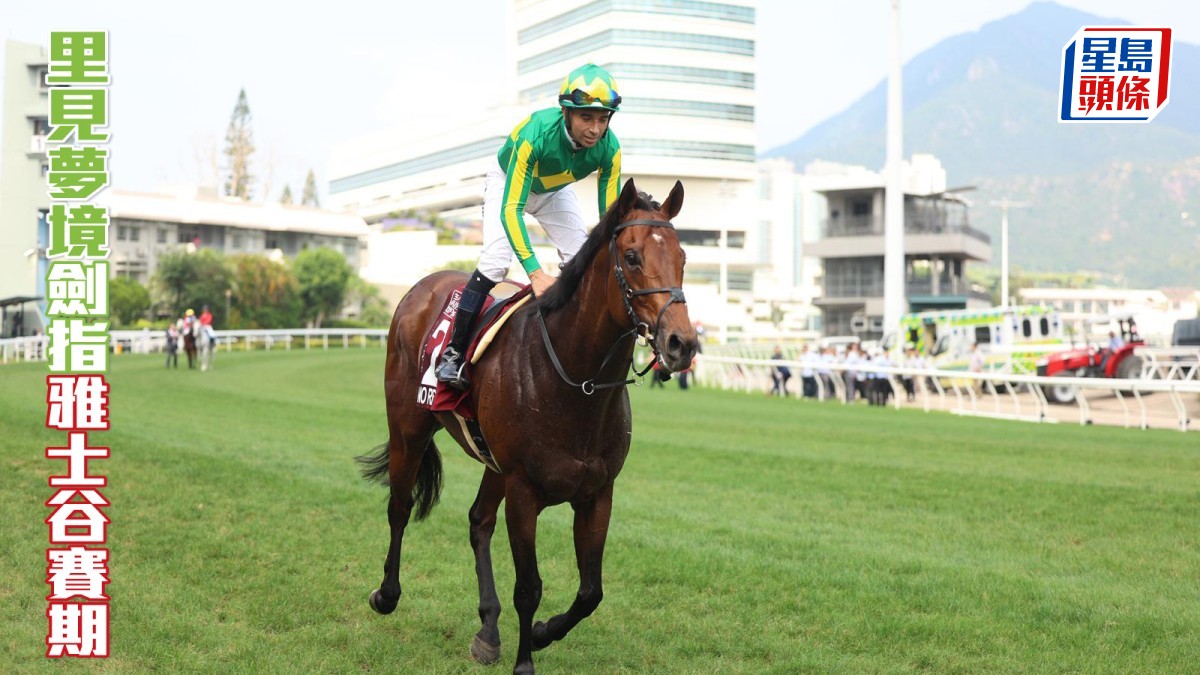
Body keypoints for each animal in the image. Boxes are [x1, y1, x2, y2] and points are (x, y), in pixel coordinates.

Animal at [357, 178, 699, 674]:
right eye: (633, 256)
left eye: (683, 258)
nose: (681, 343)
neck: (577, 381)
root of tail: (419, 287)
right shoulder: (523, 491)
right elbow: (529, 587)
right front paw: (525, 661)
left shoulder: (597, 493)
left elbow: (590, 592)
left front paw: (539, 634)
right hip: (408, 429)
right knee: (400, 507)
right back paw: (386, 594)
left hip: (491, 460)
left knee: (478, 521)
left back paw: (488, 629)